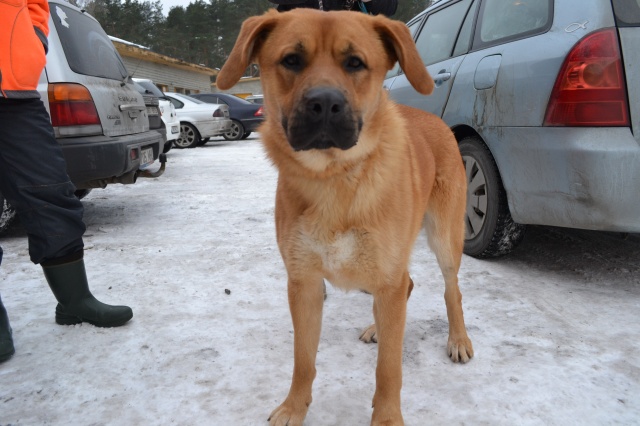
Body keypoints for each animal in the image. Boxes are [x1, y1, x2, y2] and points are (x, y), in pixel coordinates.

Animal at [217, 8, 474, 425]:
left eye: (355, 63)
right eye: (292, 60)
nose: (324, 103)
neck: (334, 179)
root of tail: (433, 119)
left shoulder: (386, 276)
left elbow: (389, 368)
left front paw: (387, 418)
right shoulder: (304, 283)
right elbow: (303, 360)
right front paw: (294, 407)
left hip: (444, 239)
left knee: (451, 289)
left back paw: (458, 338)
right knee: (408, 285)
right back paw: (378, 327)